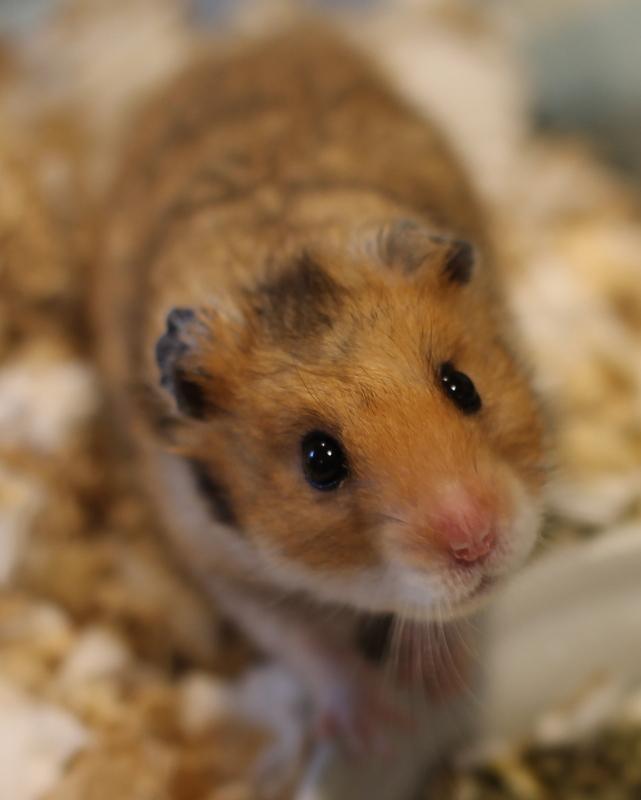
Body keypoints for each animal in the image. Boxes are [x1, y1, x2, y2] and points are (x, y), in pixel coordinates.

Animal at [94, 27, 547, 761]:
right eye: (319, 461)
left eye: (463, 386)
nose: (475, 541)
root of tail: (253, 40)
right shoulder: (222, 564)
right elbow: (308, 644)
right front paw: (379, 728)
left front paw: (441, 689)